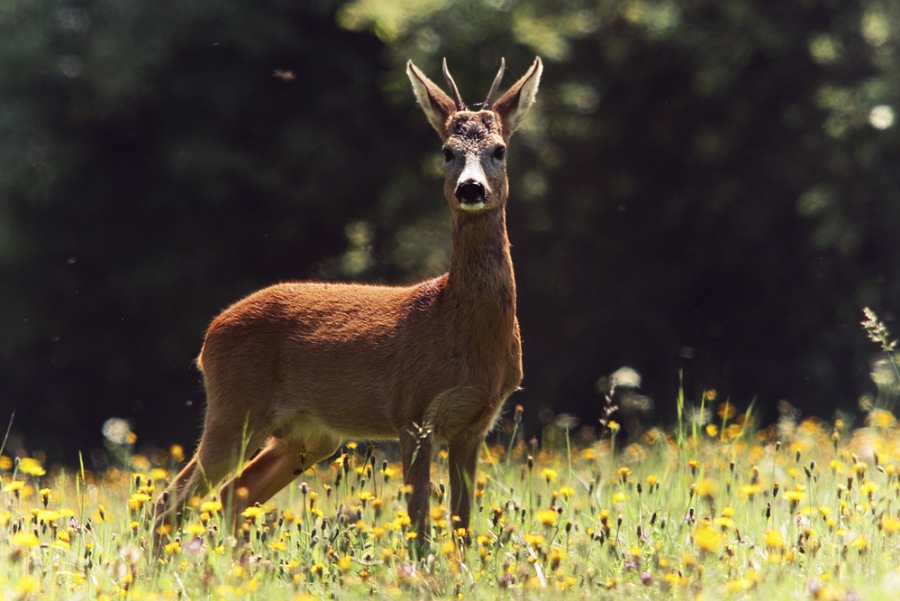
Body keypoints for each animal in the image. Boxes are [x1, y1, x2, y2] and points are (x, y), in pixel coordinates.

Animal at [152, 56, 543, 547]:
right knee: (171, 499)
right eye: (447, 151)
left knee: (232, 495)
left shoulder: (475, 425)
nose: (470, 189)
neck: (459, 324)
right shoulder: (412, 411)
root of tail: (209, 336)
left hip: (308, 434)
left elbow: (462, 527)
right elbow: (420, 526)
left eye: (499, 150)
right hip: (234, 408)